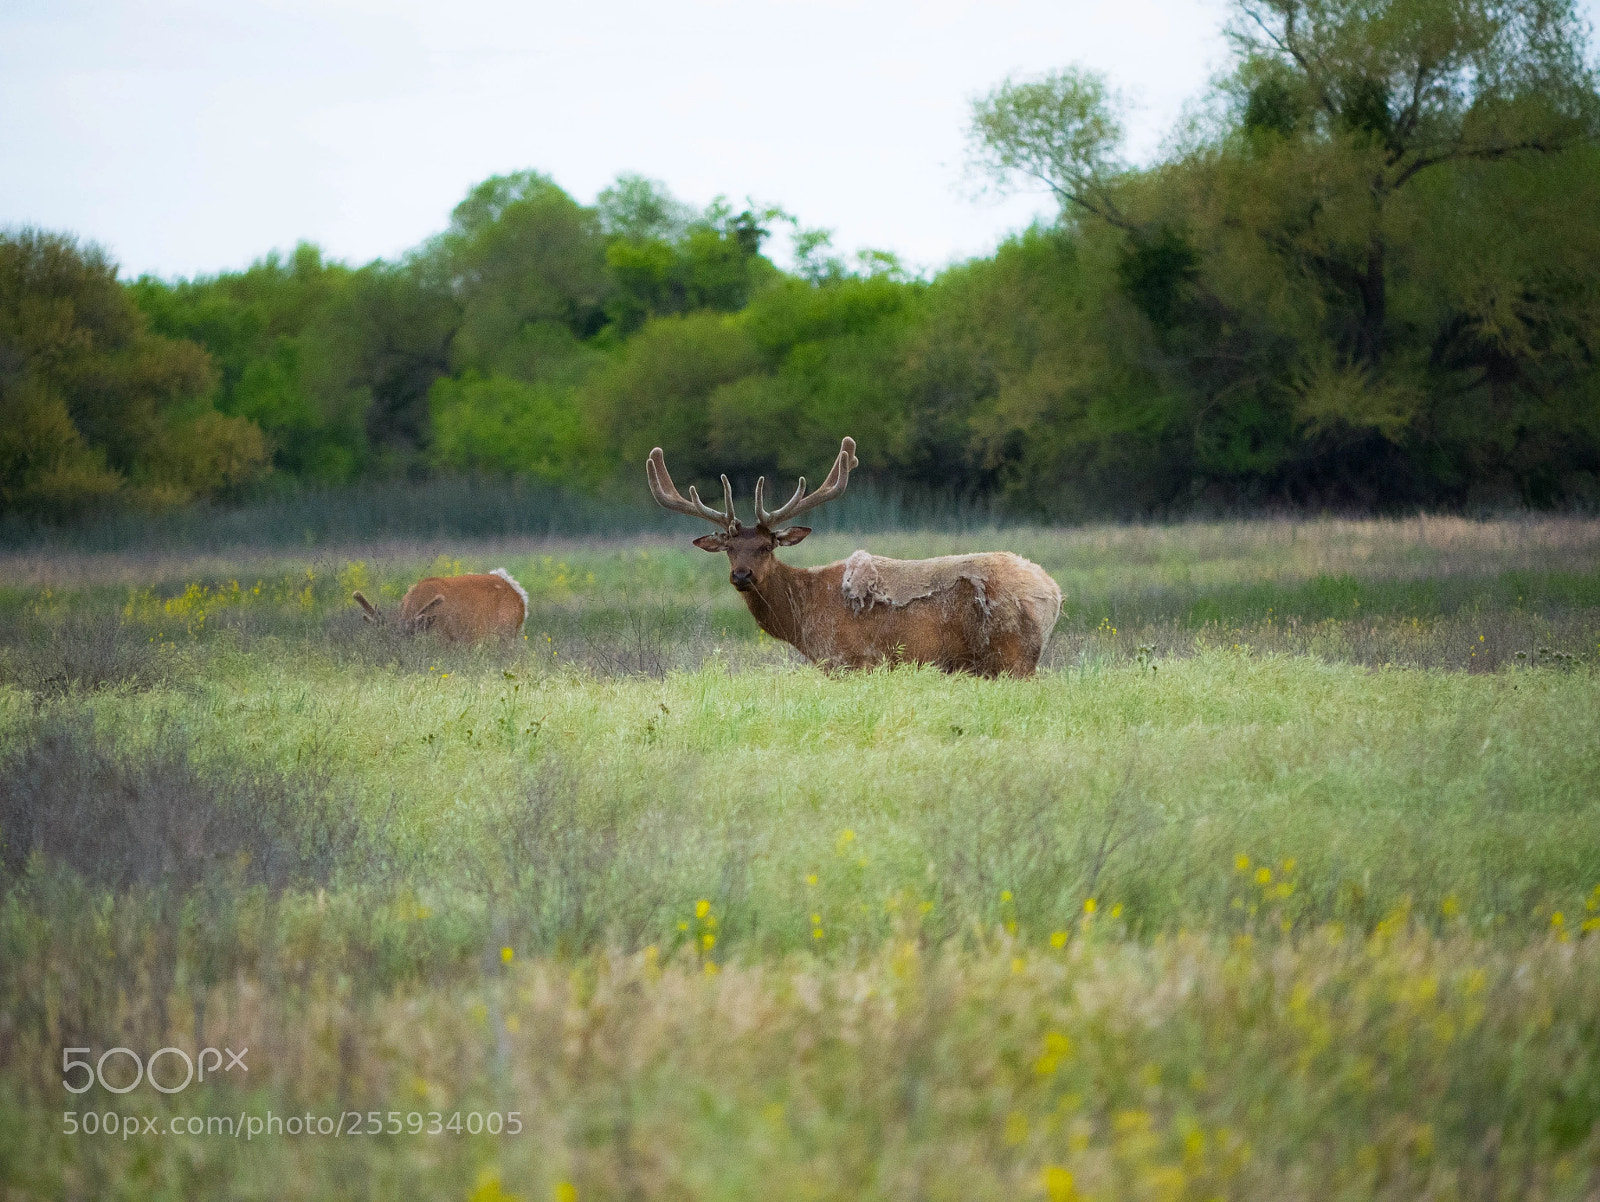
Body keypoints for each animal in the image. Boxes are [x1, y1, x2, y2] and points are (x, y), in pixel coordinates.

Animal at [646, 437, 1062, 677]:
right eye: (730, 549)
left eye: (766, 546)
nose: (742, 576)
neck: (802, 617)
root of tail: (1054, 592)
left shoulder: (848, 659)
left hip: (1013, 656)